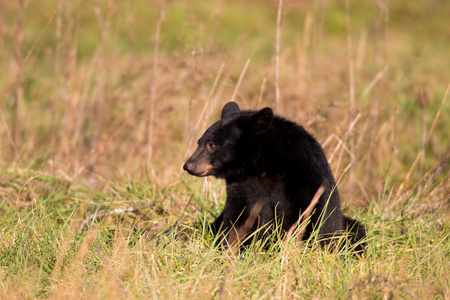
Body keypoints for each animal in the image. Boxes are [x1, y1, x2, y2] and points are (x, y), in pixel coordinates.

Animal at [183, 102, 366, 252]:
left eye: (212, 145)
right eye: (199, 142)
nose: (188, 165)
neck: (263, 165)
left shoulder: (304, 180)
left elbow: (306, 217)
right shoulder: (243, 185)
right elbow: (237, 217)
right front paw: (228, 248)